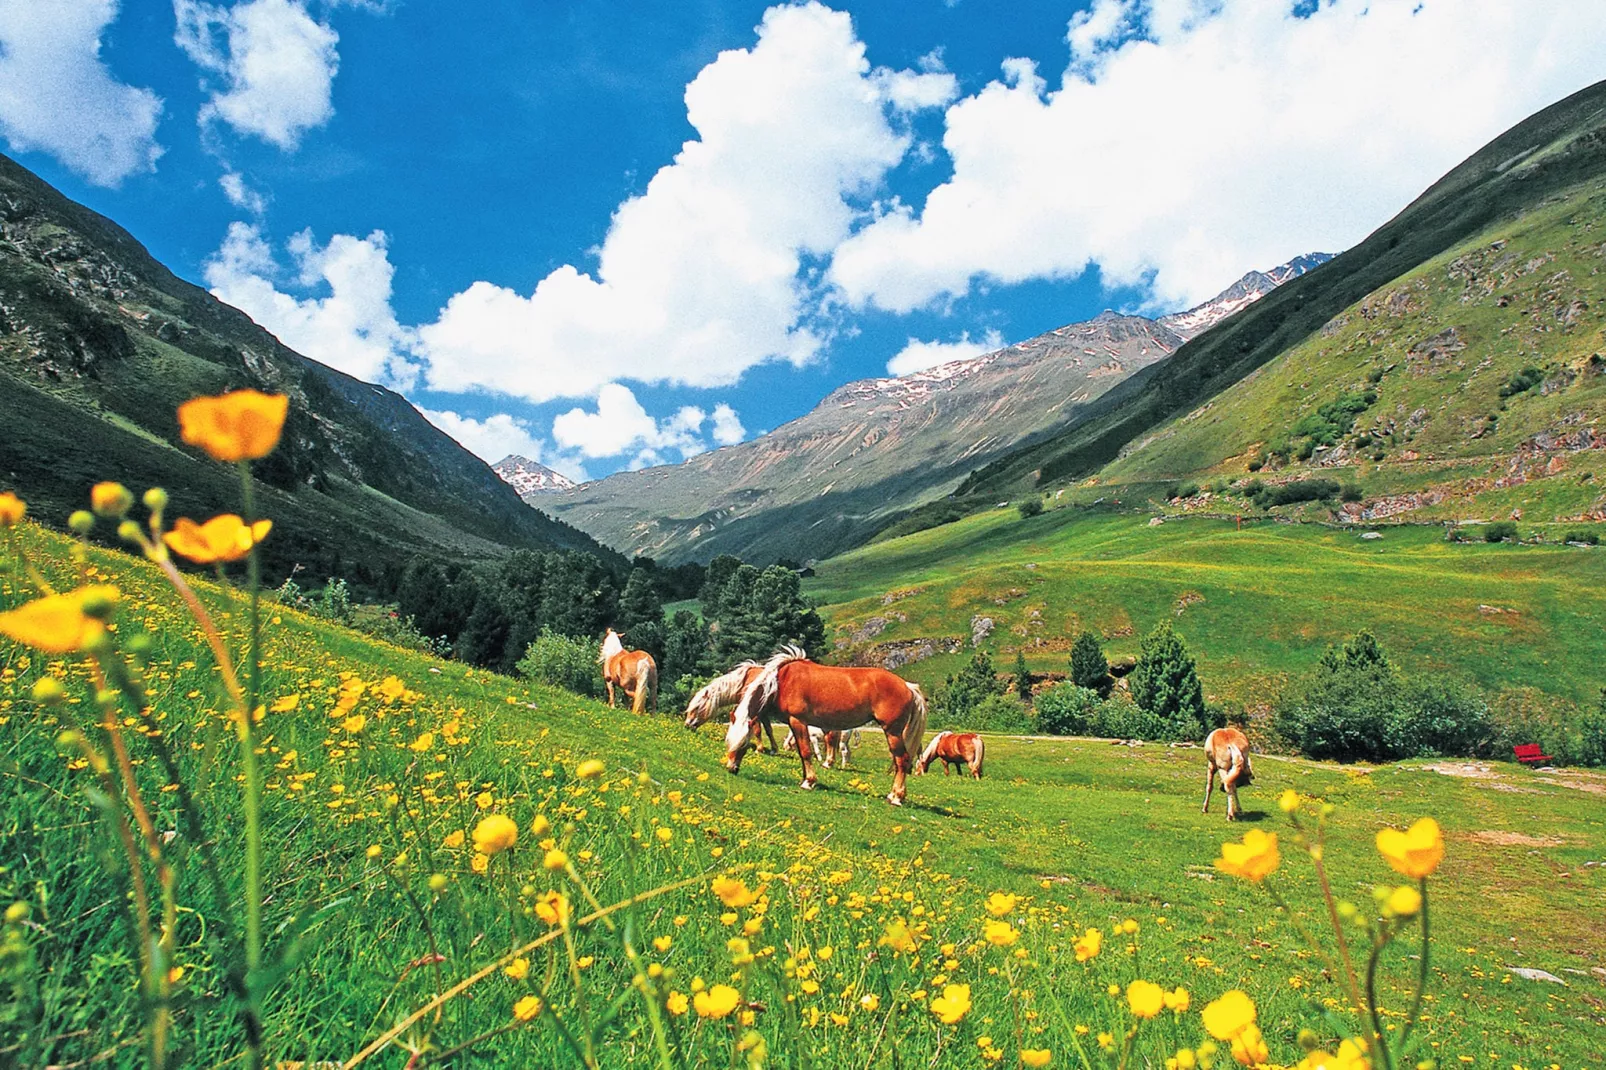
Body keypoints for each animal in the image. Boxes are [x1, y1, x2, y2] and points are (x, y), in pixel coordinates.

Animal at [729, 642, 931, 800]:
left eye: (744, 744)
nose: (731, 768)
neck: (782, 680)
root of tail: (907, 685)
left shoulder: (798, 721)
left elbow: (806, 752)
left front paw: (809, 781)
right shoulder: (794, 724)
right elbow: (802, 752)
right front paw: (805, 778)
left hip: (893, 732)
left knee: (902, 760)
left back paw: (897, 797)